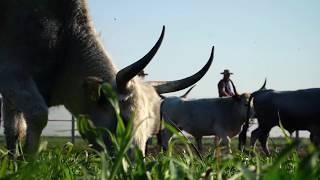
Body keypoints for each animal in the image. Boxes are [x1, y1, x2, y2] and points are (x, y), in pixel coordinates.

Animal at [0, 0, 215, 156]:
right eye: (125, 120)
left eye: (151, 126)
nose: (136, 162)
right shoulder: (12, 74)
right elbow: (37, 115)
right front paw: (28, 163)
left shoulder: (13, 92)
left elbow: (14, 129)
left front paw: (14, 162)